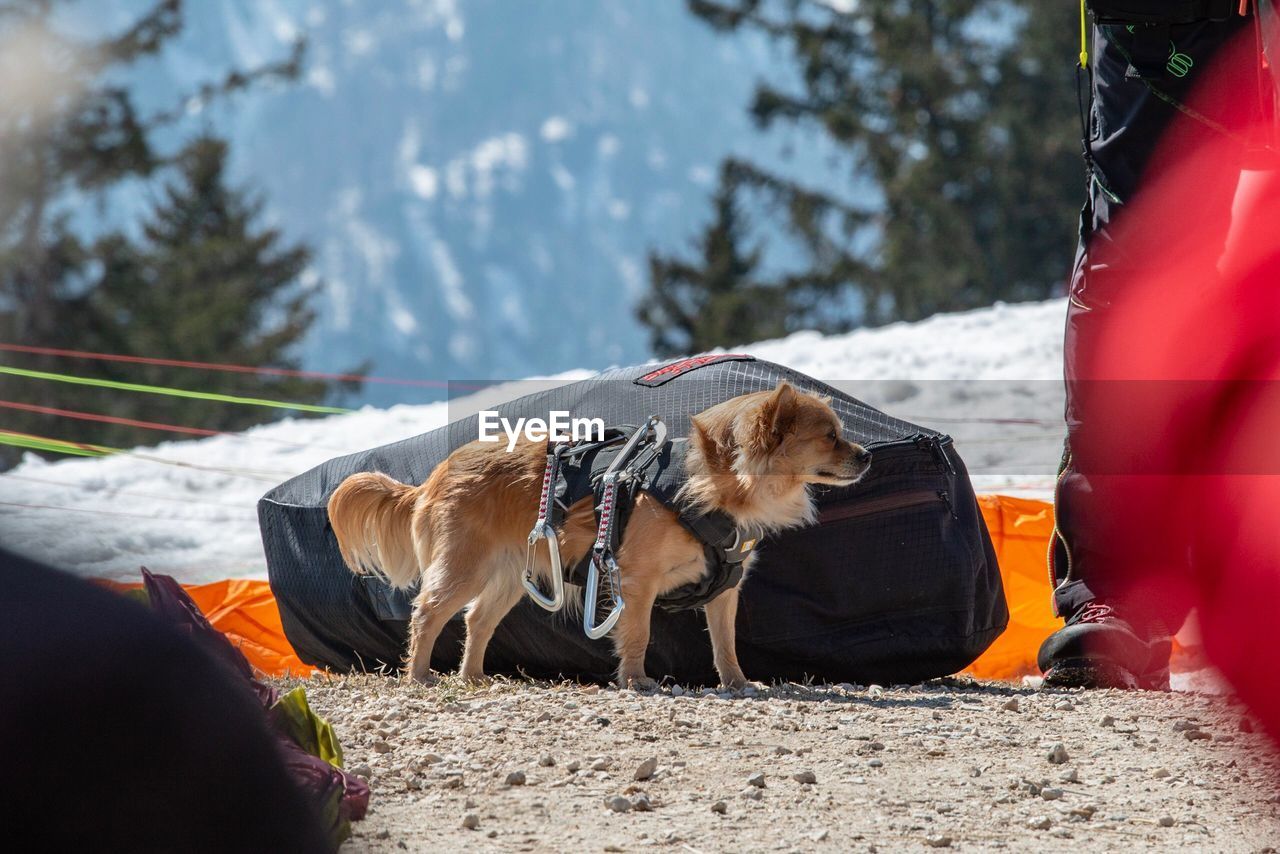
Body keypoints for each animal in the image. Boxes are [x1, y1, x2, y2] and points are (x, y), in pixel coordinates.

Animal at [327, 384, 870, 691]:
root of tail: (434, 477)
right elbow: (638, 634)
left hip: (510, 575)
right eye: (829, 438)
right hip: (465, 568)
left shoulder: (725, 589)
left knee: (477, 619)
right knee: (427, 612)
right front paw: (636, 681)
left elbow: (726, 643)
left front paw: (736, 683)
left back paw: (474, 677)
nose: (866, 455)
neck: (713, 486)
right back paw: (419, 677)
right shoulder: (634, 581)